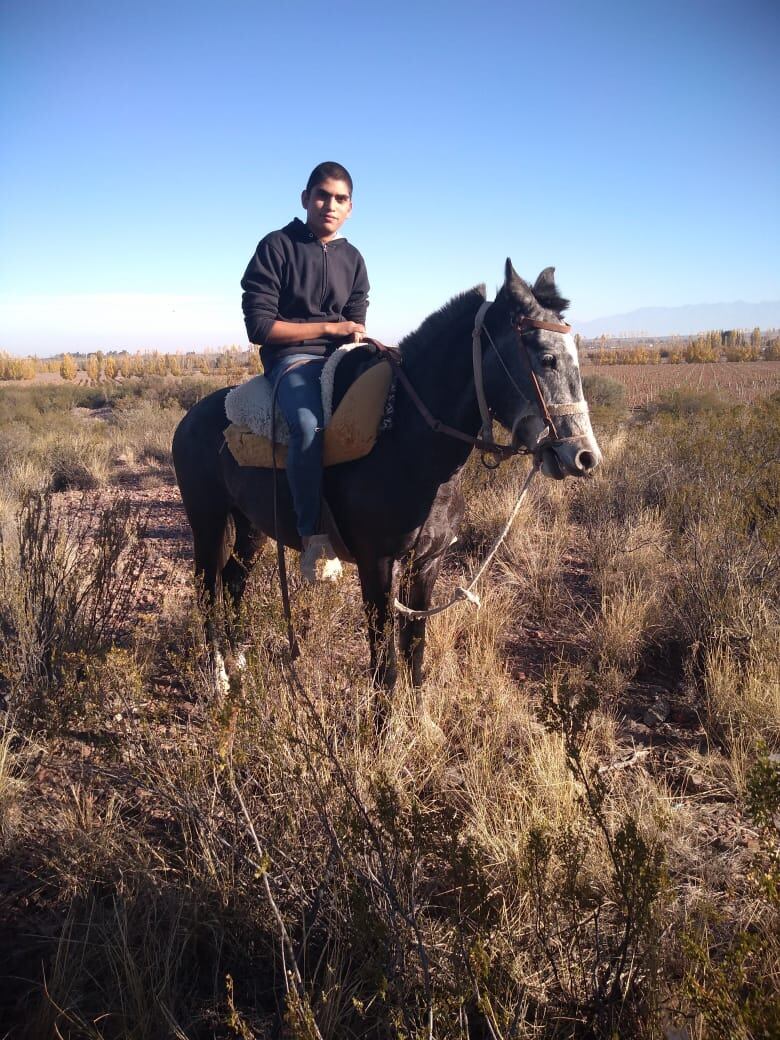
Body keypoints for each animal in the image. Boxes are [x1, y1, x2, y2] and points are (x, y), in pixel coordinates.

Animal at [173, 262, 603, 690]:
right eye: (546, 358)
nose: (584, 456)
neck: (412, 450)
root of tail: (190, 418)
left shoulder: (427, 562)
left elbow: (415, 655)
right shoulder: (376, 564)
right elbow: (386, 668)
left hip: (252, 526)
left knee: (234, 580)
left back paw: (240, 664)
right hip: (207, 520)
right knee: (207, 589)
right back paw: (219, 678)